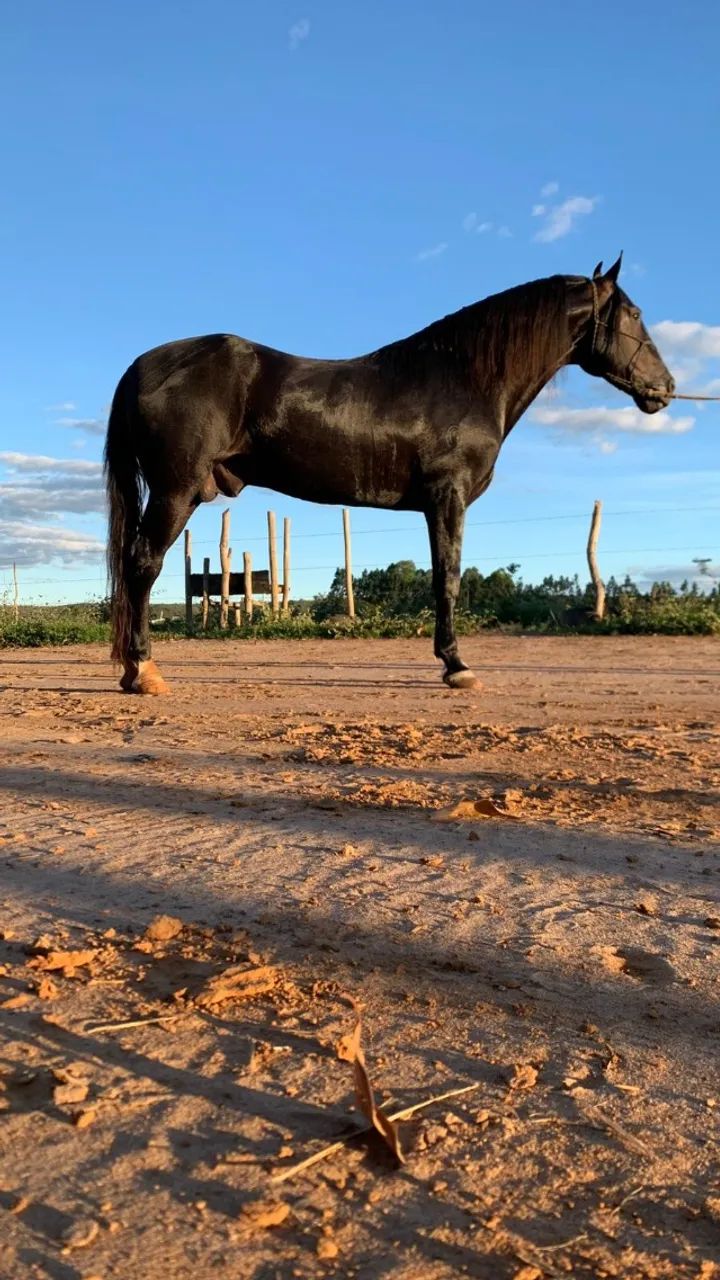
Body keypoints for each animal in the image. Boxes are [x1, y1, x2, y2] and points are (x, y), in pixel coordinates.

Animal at [104, 255, 674, 694]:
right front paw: (456, 666)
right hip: (175, 491)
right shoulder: (447, 496)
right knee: (143, 564)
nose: (666, 388)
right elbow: (447, 579)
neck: (464, 378)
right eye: (635, 314)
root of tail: (139, 367)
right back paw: (143, 670)